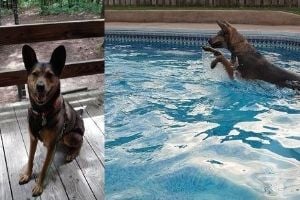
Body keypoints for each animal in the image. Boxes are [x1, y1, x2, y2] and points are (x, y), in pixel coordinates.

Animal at [18, 44, 84, 196]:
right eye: (35, 74)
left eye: (49, 75)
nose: (40, 86)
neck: (42, 112)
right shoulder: (33, 138)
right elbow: (30, 159)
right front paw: (27, 174)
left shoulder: (51, 145)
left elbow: (43, 168)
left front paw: (39, 185)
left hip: (70, 136)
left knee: (80, 143)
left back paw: (72, 153)